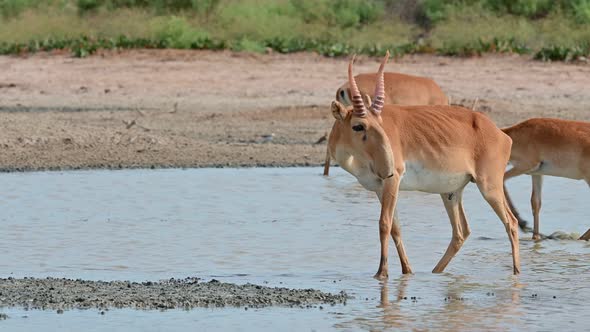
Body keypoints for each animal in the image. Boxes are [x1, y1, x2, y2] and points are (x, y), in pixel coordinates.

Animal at [328, 52, 524, 278]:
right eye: (358, 126)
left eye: (380, 122)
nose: (388, 167)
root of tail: (500, 133)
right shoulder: (379, 188)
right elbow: (395, 227)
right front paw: (407, 271)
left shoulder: (392, 182)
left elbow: (384, 224)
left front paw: (381, 273)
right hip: (451, 192)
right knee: (461, 232)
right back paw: (435, 271)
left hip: (489, 187)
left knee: (511, 222)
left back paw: (516, 273)